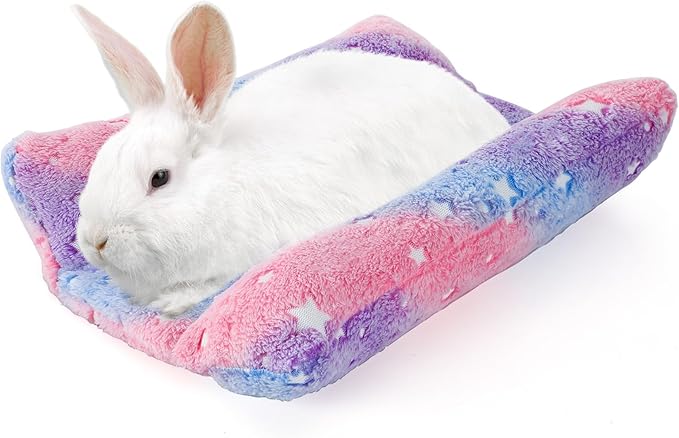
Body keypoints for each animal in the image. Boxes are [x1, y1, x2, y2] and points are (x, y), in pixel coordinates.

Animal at [73, 3, 510, 317]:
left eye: (159, 178)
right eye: (100, 162)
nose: (96, 241)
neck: (223, 185)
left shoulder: (246, 259)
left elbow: (211, 284)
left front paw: (172, 304)